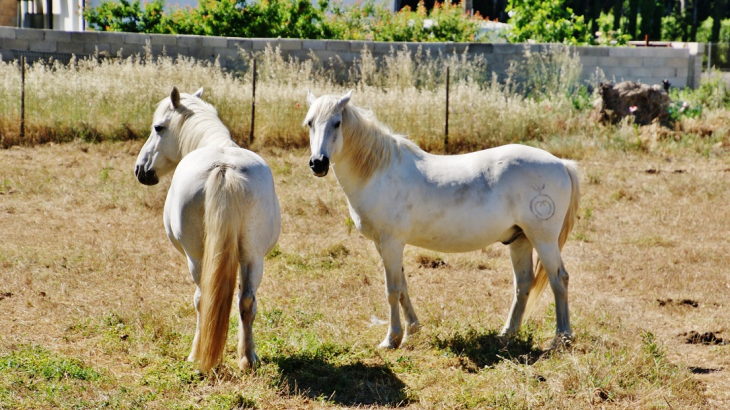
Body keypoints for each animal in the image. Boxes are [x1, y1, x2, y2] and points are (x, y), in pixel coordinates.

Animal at [134, 86, 278, 372]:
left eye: (158, 127)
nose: (141, 169)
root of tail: (224, 168)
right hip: (253, 257)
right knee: (246, 300)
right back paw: (248, 358)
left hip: (197, 257)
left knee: (203, 298)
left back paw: (196, 356)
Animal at [304, 90, 576, 350]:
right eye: (309, 123)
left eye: (337, 122)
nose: (318, 163)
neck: (379, 171)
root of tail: (561, 163)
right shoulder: (383, 245)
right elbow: (402, 287)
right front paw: (412, 330)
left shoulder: (391, 243)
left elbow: (392, 289)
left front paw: (391, 339)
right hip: (520, 240)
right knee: (523, 284)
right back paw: (506, 335)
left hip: (543, 239)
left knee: (559, 279)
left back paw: (562, 338)